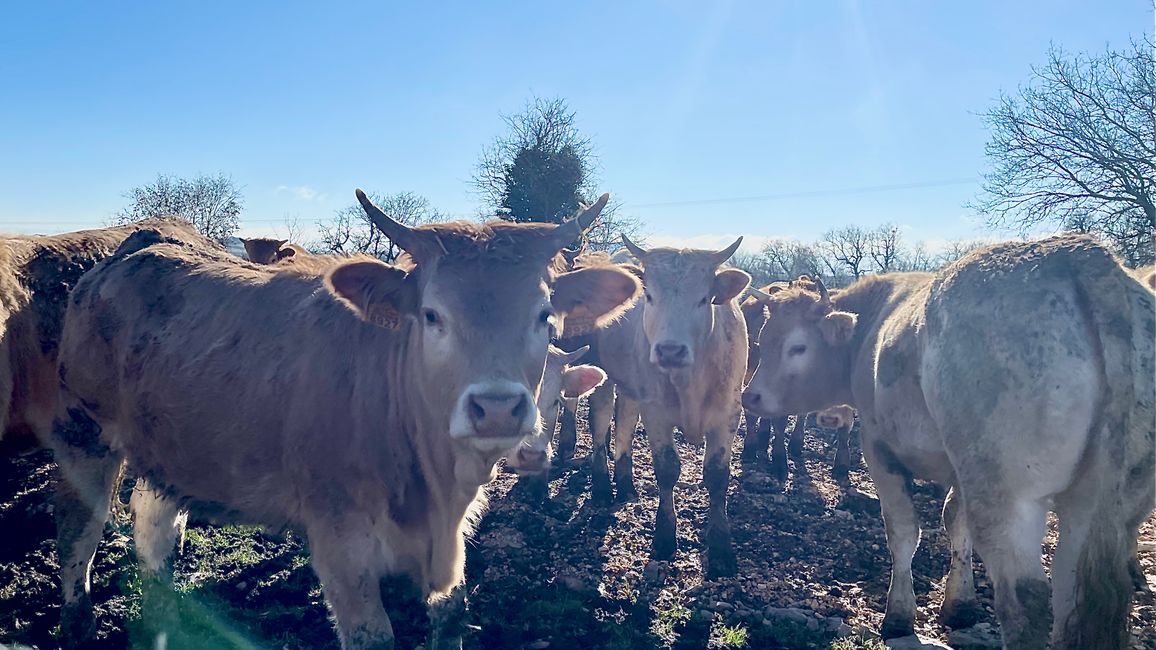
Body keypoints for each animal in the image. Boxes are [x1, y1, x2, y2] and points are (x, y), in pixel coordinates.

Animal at [47, 191, 642, 647]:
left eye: (544, 315)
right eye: (432, 315)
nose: (497, 407)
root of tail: (137, 247)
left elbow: (450, 616)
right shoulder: (338, 534)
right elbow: (371, 634)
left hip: (171, 444)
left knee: (154, 524)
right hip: (84, 434)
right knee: (78, 536)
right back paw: (79, 623)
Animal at [744, 233, 1151, 647]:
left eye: (798, 347)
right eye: (762, 338)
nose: (751, 396)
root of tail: (1080, 255)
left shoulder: (879, 448)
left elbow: (903, 532)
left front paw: (899, 616)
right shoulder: (959, 467)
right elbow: (956, 521)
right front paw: (960, 604)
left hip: (1006, 495)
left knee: (1025, 599)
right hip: (1103, 505)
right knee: (1072, 590)